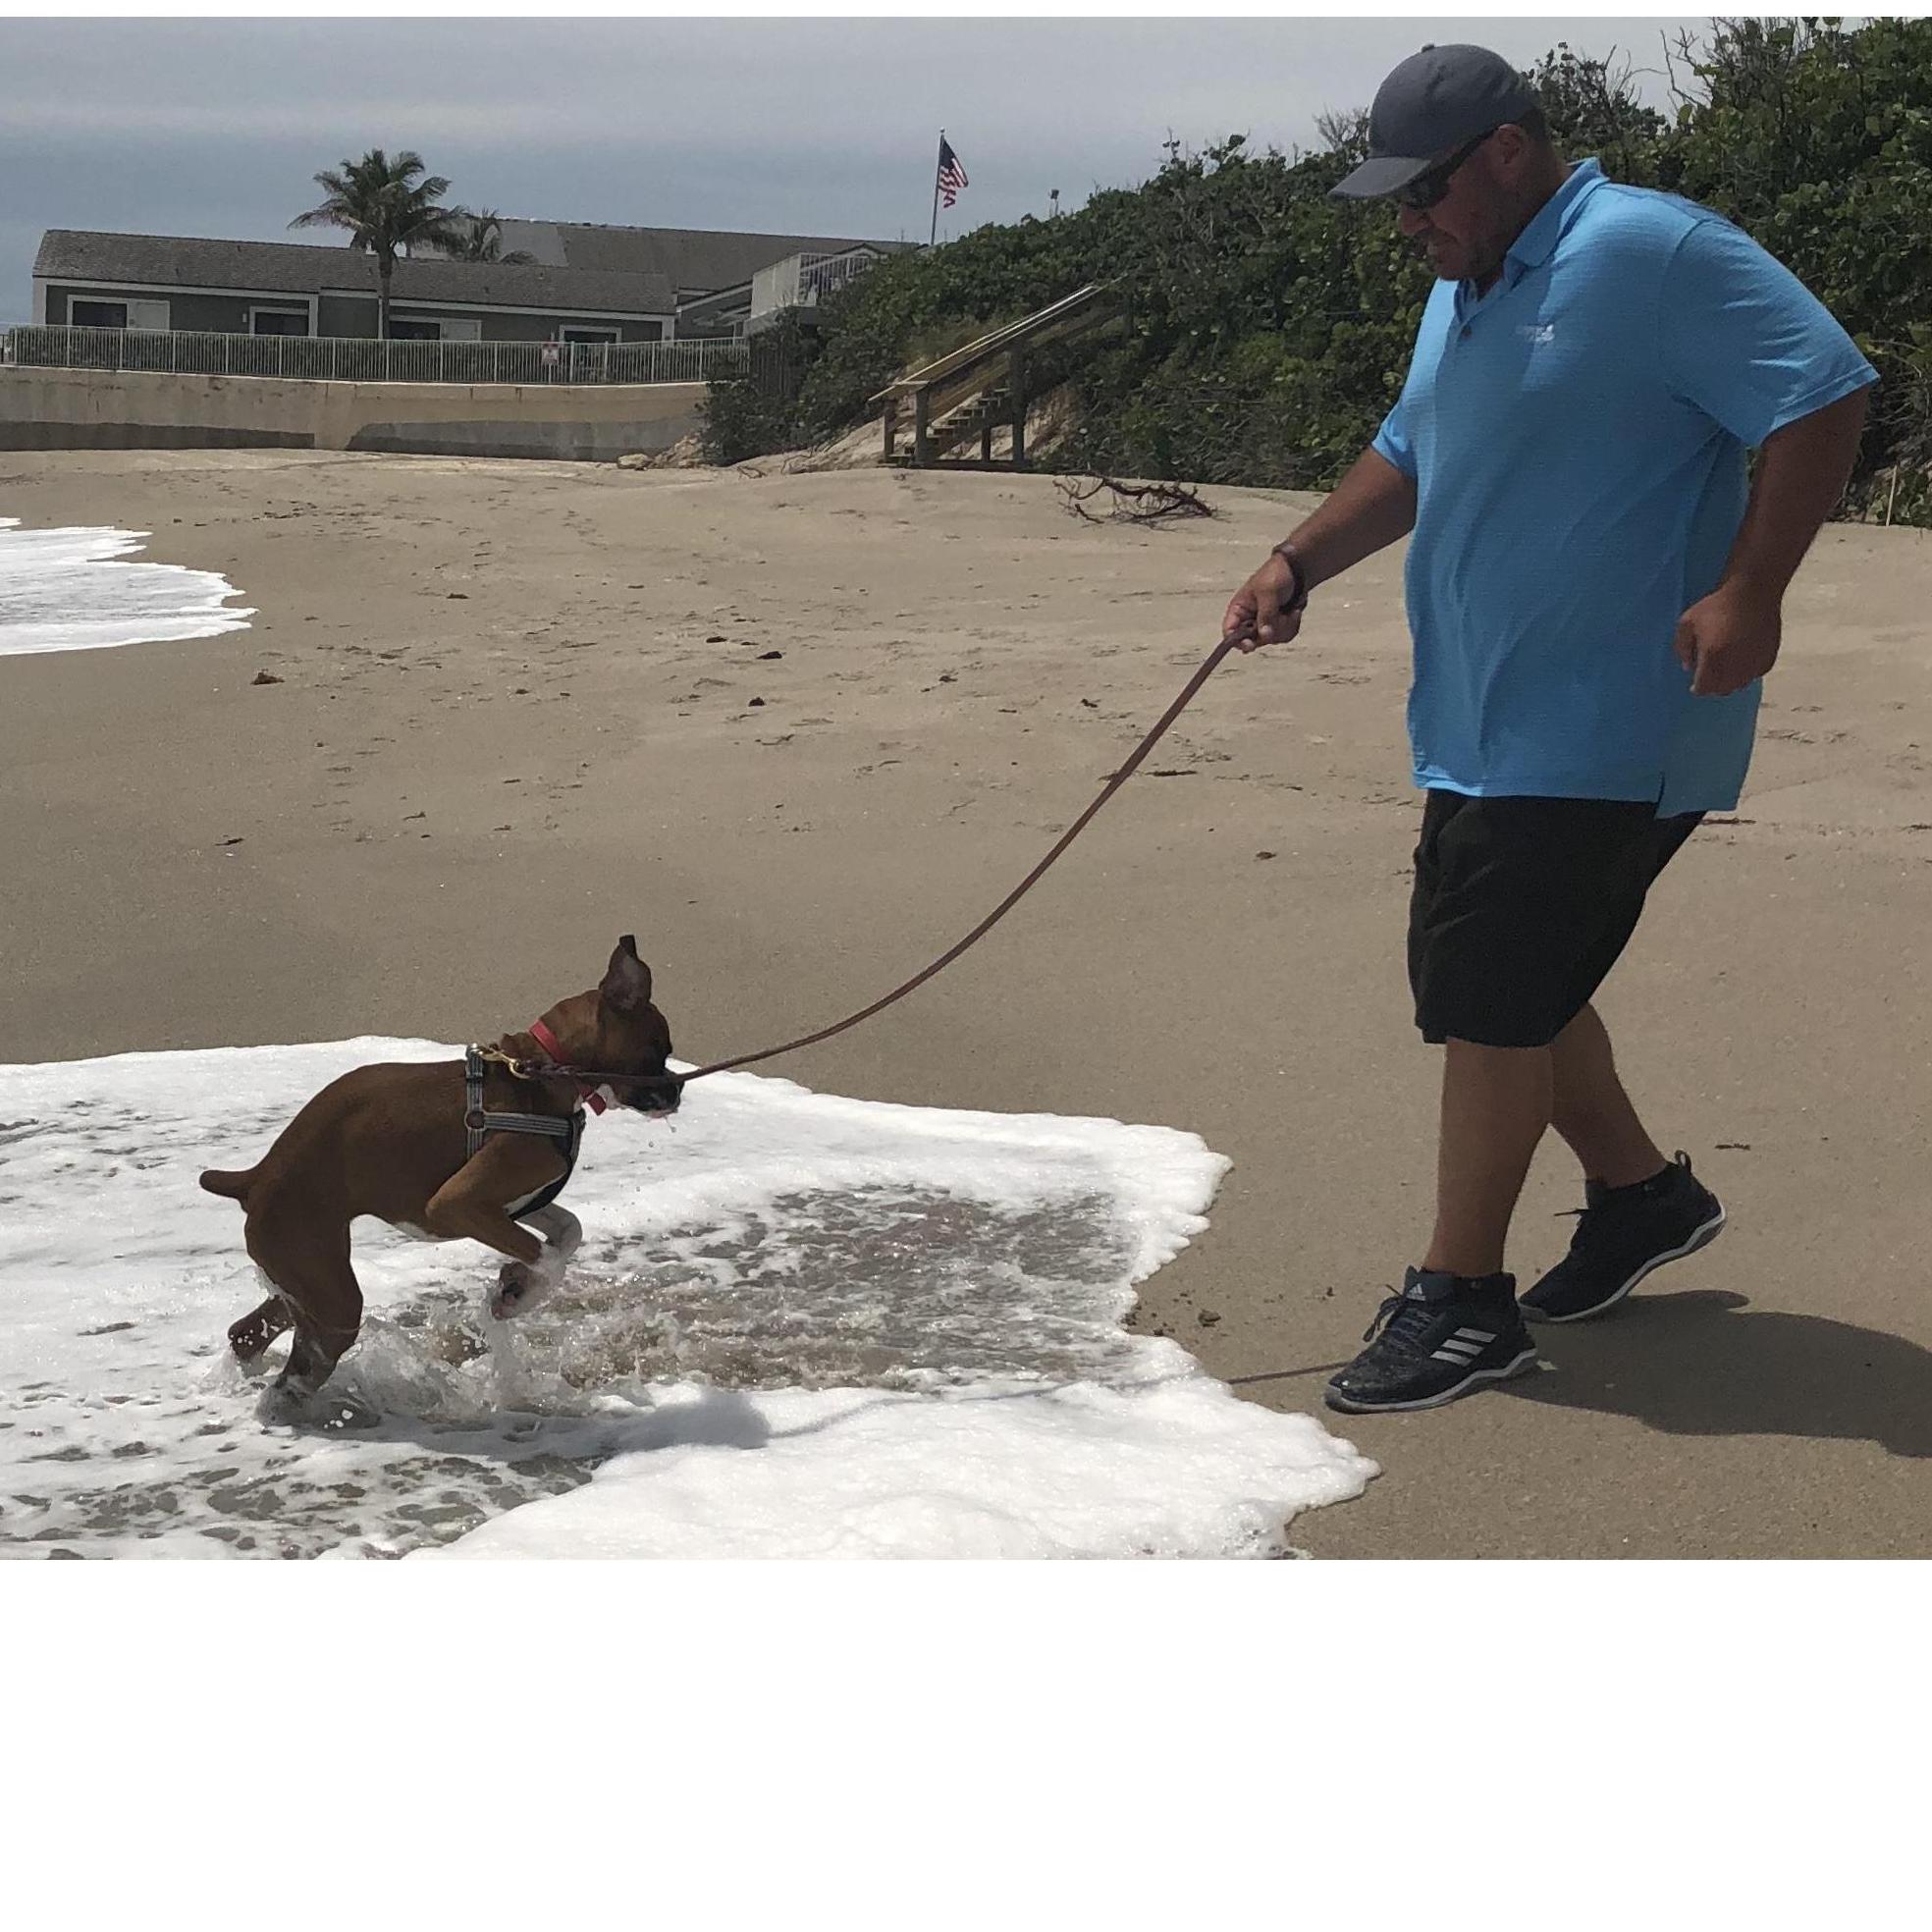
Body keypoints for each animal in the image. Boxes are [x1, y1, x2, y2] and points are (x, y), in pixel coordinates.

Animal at [200, 942, 683, 1429]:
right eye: (659, 1049)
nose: (677, 1091)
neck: (538, 1074)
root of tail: (253, 1178)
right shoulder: (458, 1205)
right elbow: (548, 1260)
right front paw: (515, 1295)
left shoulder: (514, 1205)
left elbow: (570, 1231)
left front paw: (517, 1284)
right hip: (332, 1296)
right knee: (295, 1375)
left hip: (304, 1282)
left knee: (246, 1335)